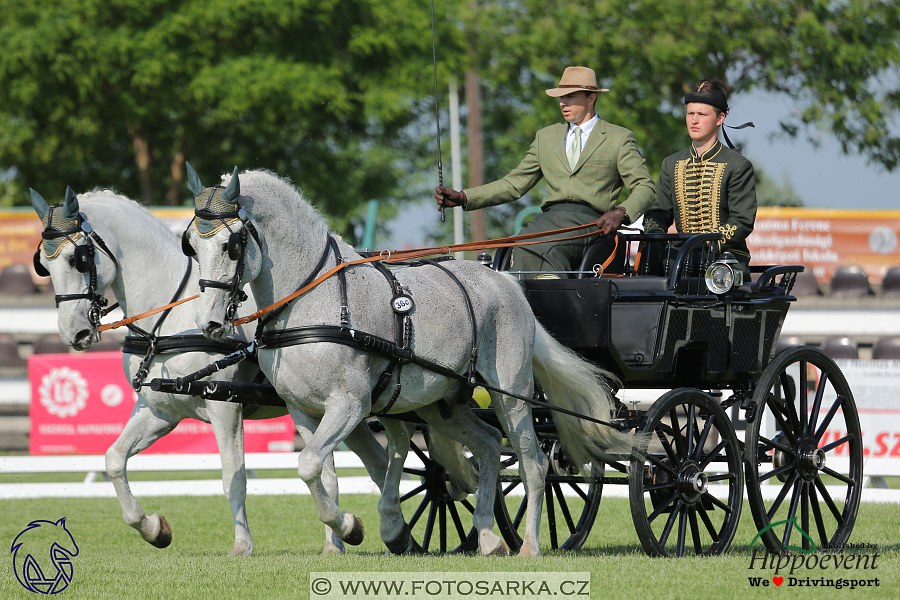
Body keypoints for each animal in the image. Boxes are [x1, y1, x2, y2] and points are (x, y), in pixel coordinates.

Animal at [29, 189, 388, 556]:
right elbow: (114, 460)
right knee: (374, 463)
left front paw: (242, 545)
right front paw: (152, 529)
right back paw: (347, 539)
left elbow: (234, 476)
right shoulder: (160, 412)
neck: (169, 320)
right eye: (43, 264)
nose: (74, 333)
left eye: (78, 258)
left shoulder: (224, 408)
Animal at [186, 166, 636, 556]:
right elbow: (322, 473)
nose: (208, 322)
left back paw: (530, 546)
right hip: (442, 404)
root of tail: (506, 282)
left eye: (232, 245)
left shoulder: (350, 405)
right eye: (191, 244)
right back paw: (488, 537)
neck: (316, 299)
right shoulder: (303, 411)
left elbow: (310, 463)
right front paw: (340, 537)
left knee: (534, 463)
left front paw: (350, 527)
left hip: (511, 395)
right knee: (489, 445)